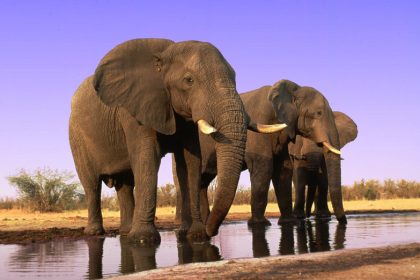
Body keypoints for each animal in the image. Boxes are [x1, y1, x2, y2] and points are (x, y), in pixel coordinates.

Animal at [69, 38, 254, 244]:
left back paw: (125, 232)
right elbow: (147, 157)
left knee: (125, 184)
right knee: (91, 184)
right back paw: (95, 233)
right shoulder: (135, 109)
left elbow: (190, 162)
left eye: (234, 77)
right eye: (189, 80)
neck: (164, 56)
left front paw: (195, 235)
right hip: (77, 138)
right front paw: (143, 239)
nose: (211, 232)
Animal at [176, 79, 346, 225]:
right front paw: (260, 224)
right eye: (318, 113)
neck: (293, 89)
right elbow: (264, 167)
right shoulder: (259, 124)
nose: (342, 221)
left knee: (203, 181)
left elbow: (283, 170)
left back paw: (204, 222)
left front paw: (288, 222)